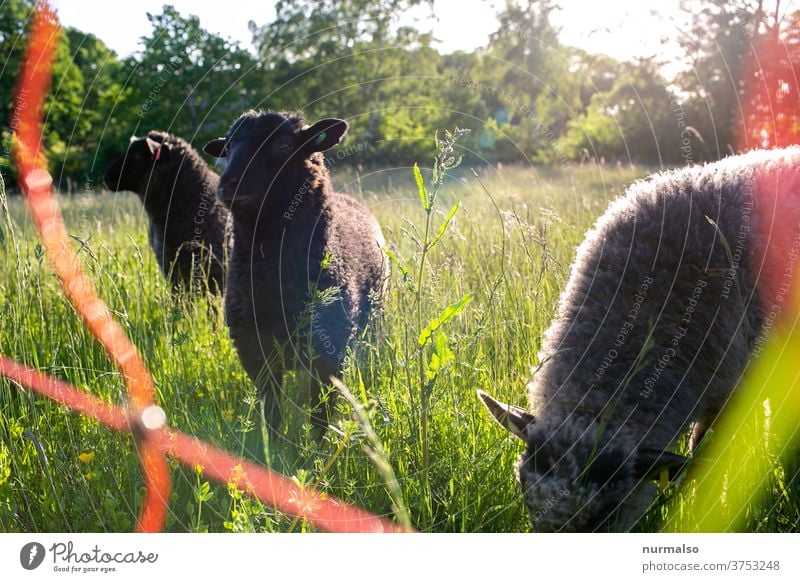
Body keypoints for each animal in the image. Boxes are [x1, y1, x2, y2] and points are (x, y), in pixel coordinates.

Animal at [202, 110, 386, 428]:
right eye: (228, 147)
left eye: (284, 145)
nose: (228, 185)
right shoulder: (253, 351)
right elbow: (272, 414)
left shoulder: (329, 353)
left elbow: (320, 418)